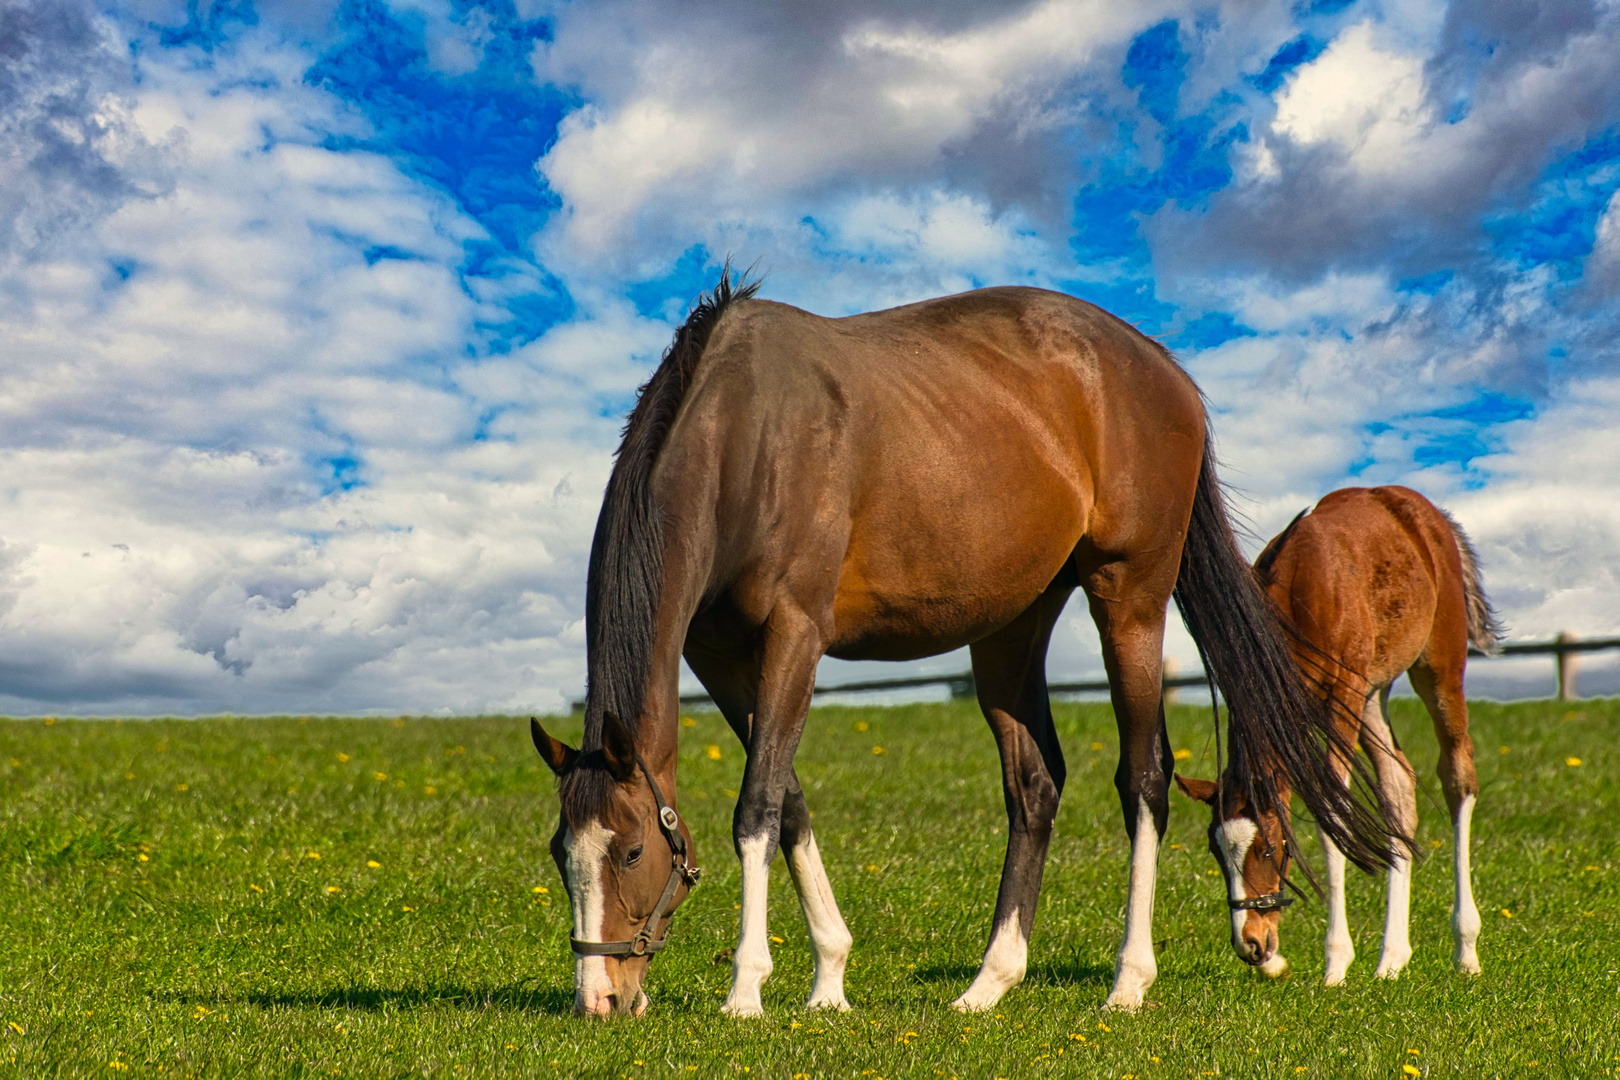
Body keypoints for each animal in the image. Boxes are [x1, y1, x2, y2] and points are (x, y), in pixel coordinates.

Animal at [528, 268, 1393, 1016]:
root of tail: (1161, 368)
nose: (599, 999)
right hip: (1011, 630)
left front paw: (747, 990)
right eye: (560, 853)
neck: (748, 436)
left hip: (1130, 600)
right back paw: (989, 982)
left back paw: (1128, 982)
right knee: (1035, 787)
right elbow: (792, 801)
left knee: (1144, 779)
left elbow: (758, 807)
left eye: (629, 852)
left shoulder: (795, 636)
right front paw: (829, 978)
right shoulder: (719, 658)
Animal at [1172, 485, 1496, 984]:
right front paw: (1279, 960)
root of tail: (1425, 512)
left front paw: (1335, 963)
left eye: (1269, 849)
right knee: (1398, 786)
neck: (1299, 594)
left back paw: (1466, 950)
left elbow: (1334, 821)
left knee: (1458, 775)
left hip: (1436, 667)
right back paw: (1391, 958)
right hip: (1372, 696)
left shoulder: (1342, 692)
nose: (1250, 944)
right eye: (1215, 850)